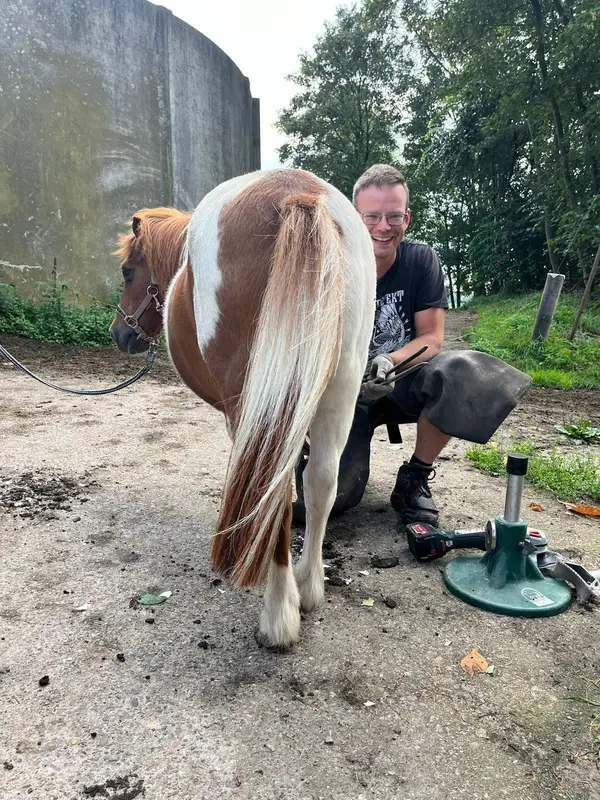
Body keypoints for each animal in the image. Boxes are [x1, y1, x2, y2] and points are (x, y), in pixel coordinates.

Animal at [110, 169, 376, 649]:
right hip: (341, 389)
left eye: (127, 272)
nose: (119, 333)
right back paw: (309, 587)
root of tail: (299, 195)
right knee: (320, 482)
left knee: (275, 491)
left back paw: (279, 616)